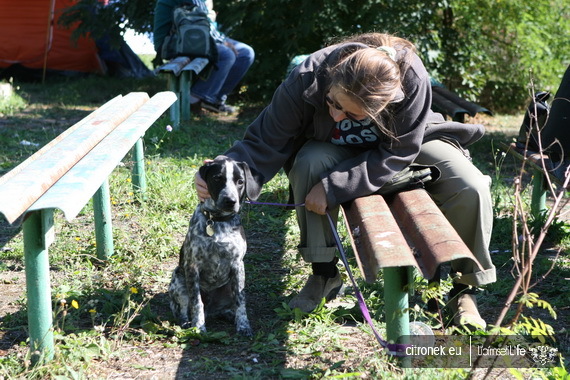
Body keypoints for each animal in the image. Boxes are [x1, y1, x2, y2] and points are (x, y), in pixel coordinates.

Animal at [166, 155, 260, 336]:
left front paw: (243, 325)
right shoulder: (192, 267)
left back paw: (230, 315)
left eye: (240, 181)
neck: (217, 221)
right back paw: (187, 323)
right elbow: (196, 302)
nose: (230, 201)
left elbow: (241, 301)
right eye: (217, 178)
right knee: (182, 310)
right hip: (178, 280)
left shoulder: (238, 266)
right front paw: (199, 326)